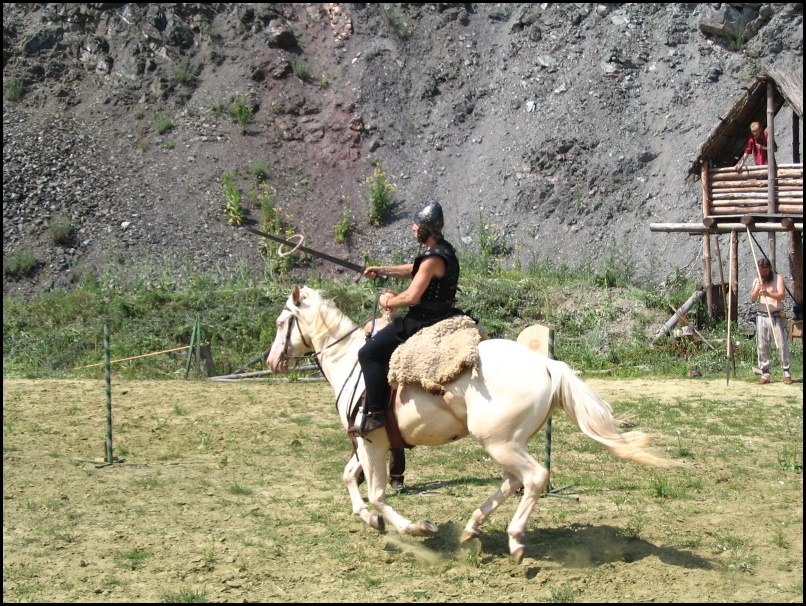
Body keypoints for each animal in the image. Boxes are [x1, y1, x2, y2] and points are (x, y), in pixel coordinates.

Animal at [266, 288, 676, 564]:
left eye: (282, 322)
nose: (272, 362)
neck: (350, 361)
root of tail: (547, 365)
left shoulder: (372, 443)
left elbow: (378, 493)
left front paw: (416, 528)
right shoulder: (368, 442)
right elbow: (351, 477)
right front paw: (369, 518)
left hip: (499, 442)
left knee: (534, 478)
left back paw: (514, 539)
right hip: (507, 442)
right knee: (514, 481)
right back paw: (472, 528)